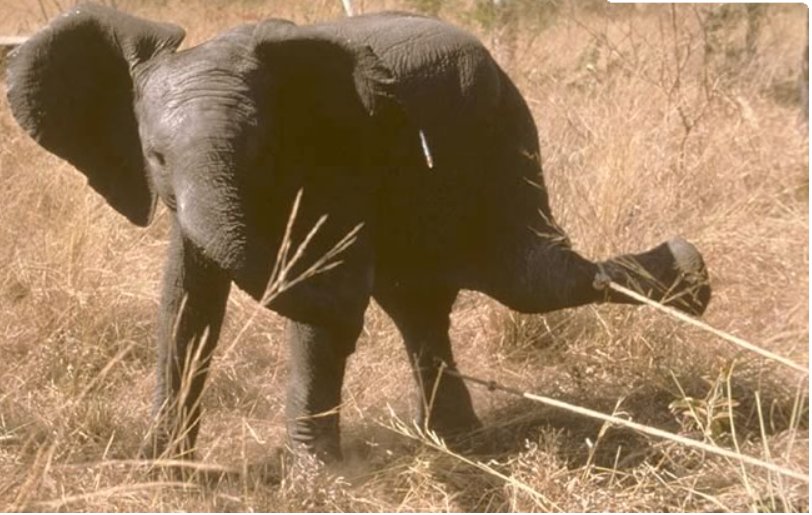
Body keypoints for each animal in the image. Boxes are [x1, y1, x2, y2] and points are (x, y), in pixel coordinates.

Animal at [6, 4, 711, 462]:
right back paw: (457, 443)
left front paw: (317, 480)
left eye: (258, 149)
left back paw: (693, 278)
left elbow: (319, 286)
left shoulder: (339, 159)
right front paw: (160, 471)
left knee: (527, 280)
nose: (352, 322)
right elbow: (185, 305)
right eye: (153, 157)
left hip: (500, 132)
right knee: (422, 302)